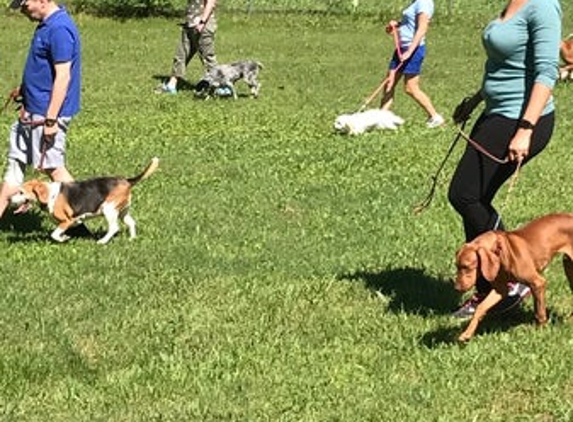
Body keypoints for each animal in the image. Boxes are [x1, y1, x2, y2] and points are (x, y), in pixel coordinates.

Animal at [11, 158, 159, 244]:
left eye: (21, 192)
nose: (10, 199)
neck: (50, 194)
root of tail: (127, 181)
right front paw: (65, 237)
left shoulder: (67, 221)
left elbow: (54, 234)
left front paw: (63, 238)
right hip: (122, 211)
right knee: (131, 223)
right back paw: (132, 239)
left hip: (108, 209)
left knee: (114, 228)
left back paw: (102, 241)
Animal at [456, 213, 573, 342]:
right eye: (457, 266)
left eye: (466, 267)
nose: (456, 288)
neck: (502, 253)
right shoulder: (500, 289)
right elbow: (480, 308)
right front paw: (467, 333)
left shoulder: (538, 283)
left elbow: (540, 312)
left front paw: (541, 331)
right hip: (568, 267)